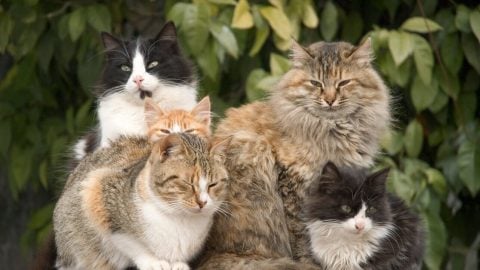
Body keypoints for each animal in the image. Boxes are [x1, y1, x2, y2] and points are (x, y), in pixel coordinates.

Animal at [52, 133, 229, 270]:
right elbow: (128, 241)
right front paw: (153, 262)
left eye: (213, 184)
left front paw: (178, 263)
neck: (180, 218)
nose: (202, 202)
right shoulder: (98, 190)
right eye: (187, 183)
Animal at [197, 37, 392, 268]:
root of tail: (211, 254)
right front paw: (313, 262)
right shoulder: (295, 185)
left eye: (343, 83)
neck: (332, 132)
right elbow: (303, 236)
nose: (329, 100)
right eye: (315, 83)